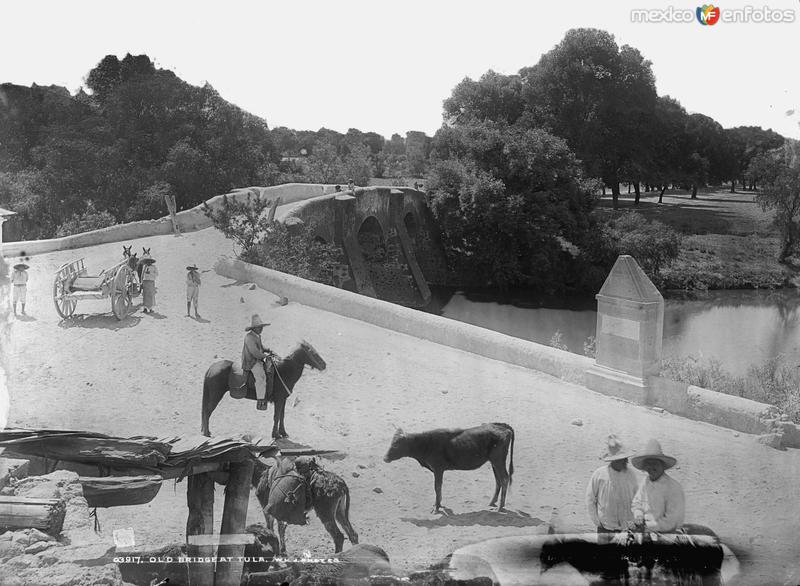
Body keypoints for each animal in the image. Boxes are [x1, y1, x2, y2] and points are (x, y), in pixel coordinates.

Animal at [384, 420, 516, 512]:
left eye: (396, 445)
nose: (385, 458)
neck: (426, 443)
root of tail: (503, 427)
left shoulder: (438, 470)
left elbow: (437, 487)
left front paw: (436, 508)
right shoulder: (438, 471)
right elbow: (439, 488)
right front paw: (438, 504)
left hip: (498, 461)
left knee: (504, 479)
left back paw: (500, 507)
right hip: (494, 462)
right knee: (498, 480)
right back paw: (492, 502)